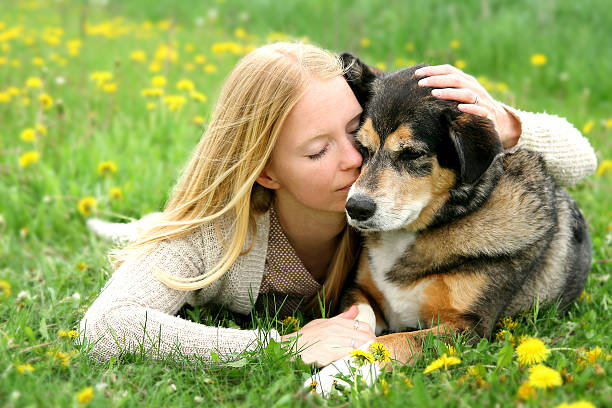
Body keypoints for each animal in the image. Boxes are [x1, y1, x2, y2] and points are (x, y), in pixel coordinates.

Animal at [338, 51, 592, 366]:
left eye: (412, 153)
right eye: (361, 148)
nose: (356, 208)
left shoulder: (467, 327)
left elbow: (391, 343)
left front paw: (334, 372)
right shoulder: (359, 291)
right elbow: (357, 322)